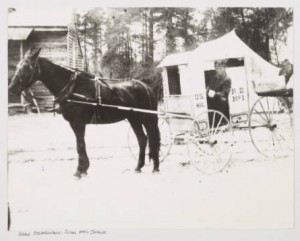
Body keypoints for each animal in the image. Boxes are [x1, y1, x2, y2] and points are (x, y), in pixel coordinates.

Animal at [8, 48, 161, 178]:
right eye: (18, 66)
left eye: (27, 67)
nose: (11, 88)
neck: (72, 88)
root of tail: (145, 86)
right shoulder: (76, 123)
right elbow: (81, 145)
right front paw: (84, 169)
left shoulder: (78, 123)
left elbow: (80, 145)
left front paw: (79, 170)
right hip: (133, 119)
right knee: (142, 139)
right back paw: (138, 167)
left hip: (147, 119)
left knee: (152, 139)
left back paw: (155, 168)